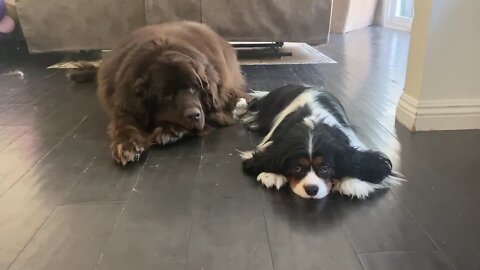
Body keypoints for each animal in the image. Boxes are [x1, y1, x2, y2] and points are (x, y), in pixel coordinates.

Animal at [67, 21, 246, 165]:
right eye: (167, 96)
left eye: (194, 89)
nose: (194, 115)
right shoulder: (123, 104)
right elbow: (124, 123)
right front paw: (127, 145)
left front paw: (169, 130)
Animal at [236, 83, 404, 199]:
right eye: (297, 168)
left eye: (325, 167)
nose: (312, 189)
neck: (312, 124)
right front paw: (271, 174)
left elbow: (357, 161)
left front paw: (353, 182)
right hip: (263, 110)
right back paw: (240, 106)